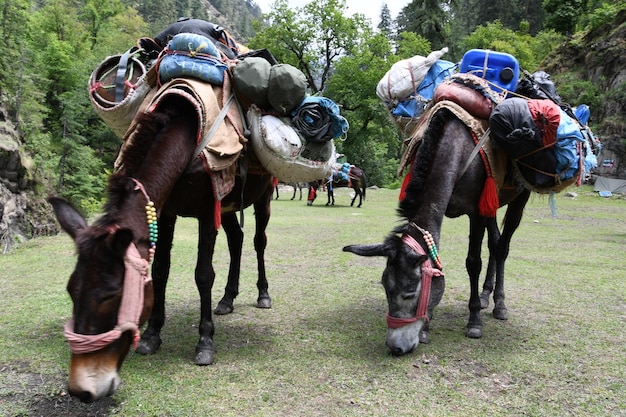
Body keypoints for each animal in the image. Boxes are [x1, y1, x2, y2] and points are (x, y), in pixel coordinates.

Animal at [48, 93, 272, 400]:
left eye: (110, 294)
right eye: (71, 291)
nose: (82, 390)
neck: (187, 134)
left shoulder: (206, 211)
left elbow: (203, 274)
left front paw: (205, 341)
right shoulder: (165, 211)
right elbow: (161, 270)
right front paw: (152, 335)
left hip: (264, 196)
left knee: (258, 241)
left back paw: (263, 294)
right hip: (226, 206)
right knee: (236, 239)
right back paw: (227, 300)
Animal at [338, 107, 528, 354]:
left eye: (409, 293)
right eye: (385, 288)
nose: (395, 347)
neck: (456, 146)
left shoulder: (476, 212)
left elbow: (473, 263)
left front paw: (474, 321)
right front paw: (427, 328)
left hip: (519, 199)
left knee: (502, 247)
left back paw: (500, 305)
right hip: (493, 206)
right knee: (494, 243)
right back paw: (487, 295)